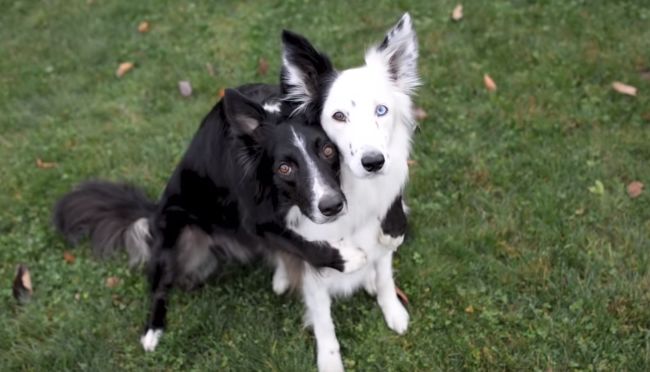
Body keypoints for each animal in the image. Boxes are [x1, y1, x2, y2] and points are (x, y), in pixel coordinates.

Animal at [51, 83, 368, 352]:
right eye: (284, 168)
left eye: (328, 150)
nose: (333, 206)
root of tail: (153, 211)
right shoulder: (255, 220)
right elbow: (302, 244)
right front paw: (347, 258)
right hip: (175, 235)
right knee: (159, 286)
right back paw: (153, 330)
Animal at [270, 13, 418, 370]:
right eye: (338, 116)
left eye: (381, 110)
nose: (373, 162)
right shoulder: (315, 271)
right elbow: (324, 323)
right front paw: (329, 361)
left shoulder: (383, 240)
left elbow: (386, 275)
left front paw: (393, 309)